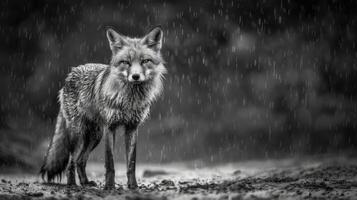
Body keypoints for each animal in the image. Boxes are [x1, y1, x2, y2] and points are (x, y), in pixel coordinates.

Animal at [40, 26, 165, 189]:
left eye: (145, 61)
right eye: (126, 62)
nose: (136, 76)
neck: (129, 101)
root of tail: (71, 73)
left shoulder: (132, 127)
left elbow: (131, 163)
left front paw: (133, 186)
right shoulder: (110, 127)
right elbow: (109, 162)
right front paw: (109, 187)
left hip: (95, 136)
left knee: (80, 161)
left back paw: (86, 182)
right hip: (78, 133)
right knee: (71, 162)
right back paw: (72, 184)